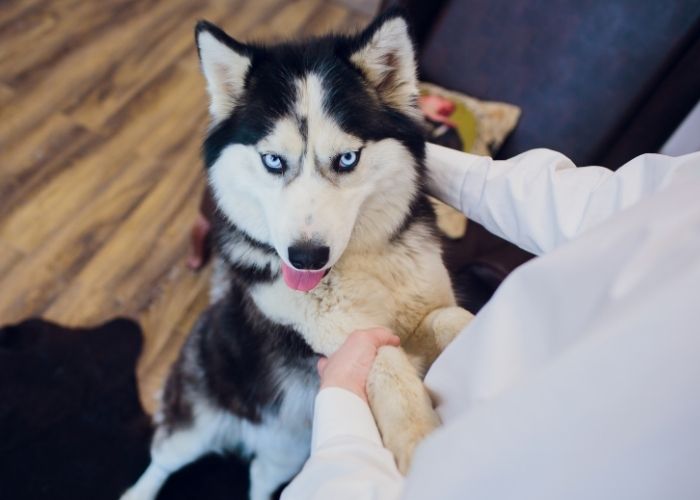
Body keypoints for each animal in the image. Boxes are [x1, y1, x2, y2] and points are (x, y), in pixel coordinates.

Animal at [124, 8, 476, 500]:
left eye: (347, 159)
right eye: (273, 161)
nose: (306, 257)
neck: (360, 269)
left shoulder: (416, 321)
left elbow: (448, 317)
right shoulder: (342, 340)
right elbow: (386, 367)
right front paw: (421, 442)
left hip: (288, 453)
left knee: (259, 476)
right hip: (195, 426)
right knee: (162, 461)